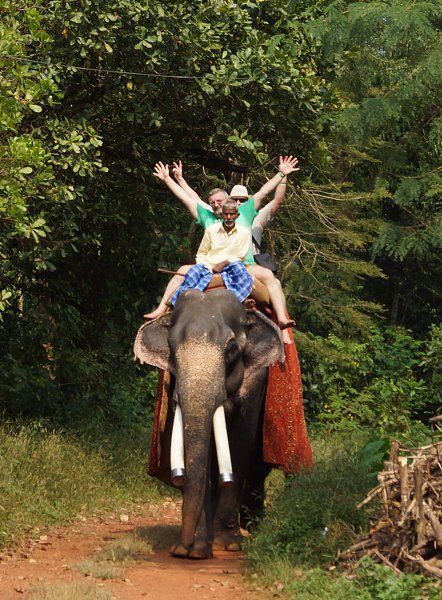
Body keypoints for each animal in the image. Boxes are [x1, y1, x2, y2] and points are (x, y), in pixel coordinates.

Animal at [133, 288, 284, 559]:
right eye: (171, 346)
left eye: (232, 348)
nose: (181, 547)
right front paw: (196, 550)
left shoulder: (256, 379)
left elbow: (238, 443)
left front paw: (227, 544)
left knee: (258, 465)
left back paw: (252, 524)